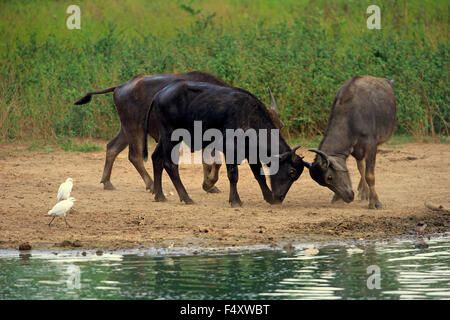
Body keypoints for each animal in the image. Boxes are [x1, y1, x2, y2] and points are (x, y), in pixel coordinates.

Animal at [75, 71, 284, 192]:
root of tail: (120, 87)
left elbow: (208, 162)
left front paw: (209, 185)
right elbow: (215, 162)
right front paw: (209, 183)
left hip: (126, 129)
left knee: (112, 148)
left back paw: (107, 182)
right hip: (134, 128)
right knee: (134, 156)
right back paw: (150, 184)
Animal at [144, 81, 310, 206]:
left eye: (296, 176)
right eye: (291, 172)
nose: (280, 197)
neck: (248, 118)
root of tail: (160, 94)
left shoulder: (251, 152)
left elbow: (259, 175)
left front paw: (269, 197)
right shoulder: (230, 149)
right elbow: (233, 174)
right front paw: (235, 200)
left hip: (164, 138)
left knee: (156, 158)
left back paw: (159, 196)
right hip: (171, 136)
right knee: (170, 164)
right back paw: (186, 198)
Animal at [308, 75, 396, 210]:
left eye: (329, 177)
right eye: (323, 183)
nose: (348, 197)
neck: (351, 117)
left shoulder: (371, 147)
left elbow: (370, 175)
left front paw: (375, 202)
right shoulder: (353, 149)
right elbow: (361, 169)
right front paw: (337, 197)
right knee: (361, 166)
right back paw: (363, 191)